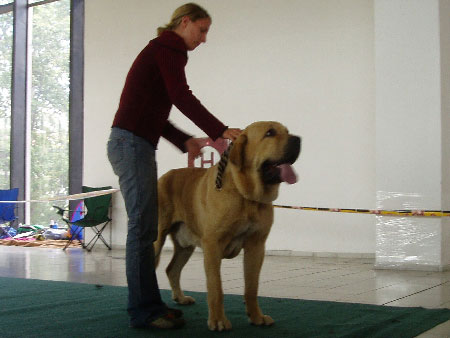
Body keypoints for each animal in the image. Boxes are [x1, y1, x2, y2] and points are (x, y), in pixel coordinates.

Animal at [156, 121, 302, 330]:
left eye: (287, 132)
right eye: (269, 133)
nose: (298, 139)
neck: (246, 196)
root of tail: (163, 176)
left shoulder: (256, 246)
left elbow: (251, 287)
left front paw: (256, 317)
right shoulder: (212, 245)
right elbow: (216, 287)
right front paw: (218, 320)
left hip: (185, 246)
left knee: (172, 269)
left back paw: (181, 298)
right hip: (155, 238)